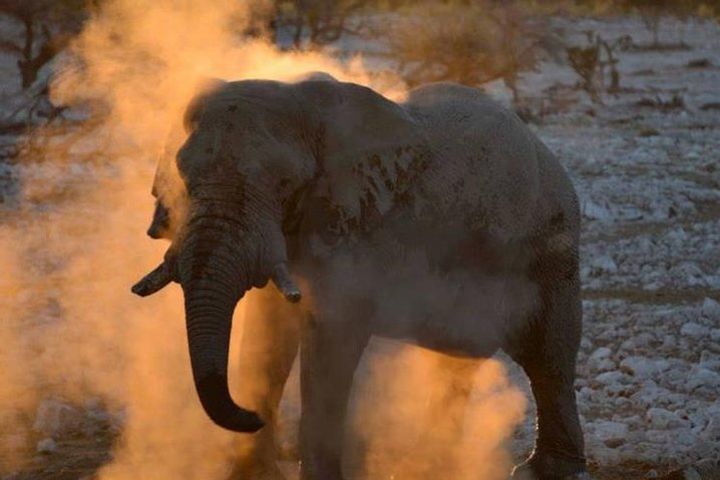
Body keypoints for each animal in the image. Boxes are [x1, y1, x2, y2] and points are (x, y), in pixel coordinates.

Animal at [132, 74, 588, 480]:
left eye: (283, 182)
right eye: (182, 177)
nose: (251, 415)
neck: (303, 103)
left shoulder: (361, 230)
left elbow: (332, 336)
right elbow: (269, 329)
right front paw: (251, 474)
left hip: (551, 248)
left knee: (548, 359)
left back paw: (544, 471)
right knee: (459, 360)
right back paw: (428, 464)